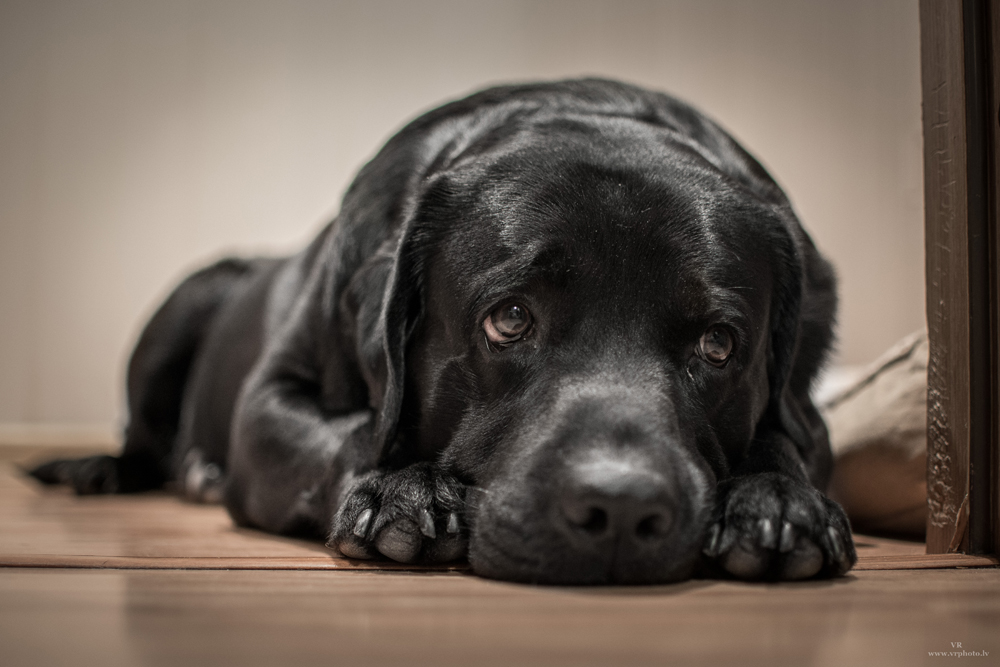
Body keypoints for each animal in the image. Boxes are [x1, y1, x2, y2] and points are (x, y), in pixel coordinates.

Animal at [35, 79, 856, 584]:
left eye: (718, 344)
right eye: (510, 318)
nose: (621, 508)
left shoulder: (806, 417)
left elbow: (786, 441)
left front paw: (776, 504)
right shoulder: (268, 404)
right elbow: (351, 436)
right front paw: (402, 493)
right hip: (186, 302)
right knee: (145, 438)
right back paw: (119, 470)